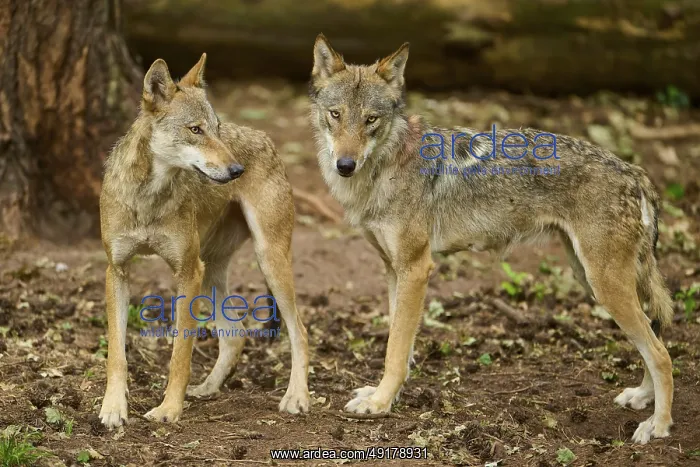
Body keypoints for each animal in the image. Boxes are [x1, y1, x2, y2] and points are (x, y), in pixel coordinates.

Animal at [98, 54, 309, 428]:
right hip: (211, 271)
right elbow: (116, 354)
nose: (237, 170)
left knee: (300, 331)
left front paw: (169, 409)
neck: (147, 199)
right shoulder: (117, 270)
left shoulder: (187, 272)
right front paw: (113, 409)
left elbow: (179, 354)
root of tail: (265, 136)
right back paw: (208, 389)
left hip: (267, 261)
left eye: (216, 128)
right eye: (195, 130)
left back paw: (297, 398)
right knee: (236, 335)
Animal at [308, 34, 674, 444]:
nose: (345, 165)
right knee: (655, 338)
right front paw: (385, 395)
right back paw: (642, 397)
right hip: (593, 279)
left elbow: (396, 349)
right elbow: (398, 344)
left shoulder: (416, 269)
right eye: (335, 115)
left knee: (661, 354)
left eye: (371, 120)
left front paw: (380, 403)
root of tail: (634, 171)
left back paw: (658, 425)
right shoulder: (393, 269)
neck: (383, 169)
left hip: (605, 285)